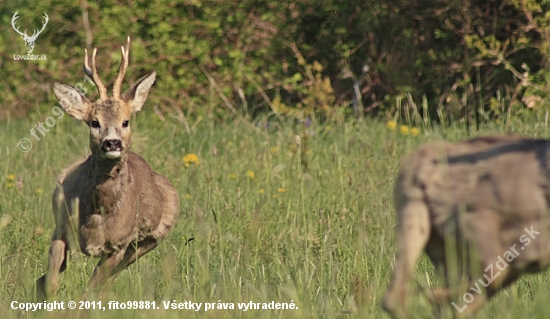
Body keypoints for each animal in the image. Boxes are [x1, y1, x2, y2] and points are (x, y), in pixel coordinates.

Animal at [36, 37, 179, 300]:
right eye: (94, 122)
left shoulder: (118, 245)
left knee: (103, 286)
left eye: (126, 121)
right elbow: (50, 283)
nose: (112, 143)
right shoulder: (60, 227)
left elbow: (89, 294)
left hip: (145, 244)